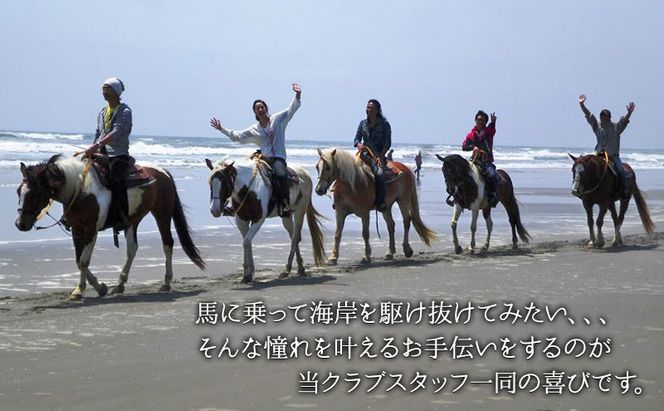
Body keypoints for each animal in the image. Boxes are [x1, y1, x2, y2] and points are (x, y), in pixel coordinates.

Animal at [15, 155, 206, 300]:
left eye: (33, 194)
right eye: (18, 191)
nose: (20, 224)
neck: (80, 191)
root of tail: (164, 173)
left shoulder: (91, 230)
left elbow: (83, 261)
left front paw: (80, 290)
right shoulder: (77, 230)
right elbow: (78, 261)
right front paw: (99, 287)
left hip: (162, 213)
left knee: (167, 243)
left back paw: (166, 282)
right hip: (132, 220)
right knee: (132, 248)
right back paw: (120, 284)